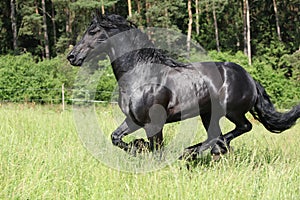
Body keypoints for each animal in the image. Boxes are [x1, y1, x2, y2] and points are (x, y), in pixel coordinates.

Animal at [68, 13, 300, 159]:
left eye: (93, 31)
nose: (72, 57)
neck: (140, 74)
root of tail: (249, 78)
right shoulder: (134, 120)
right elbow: (116, 138)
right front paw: (138, 146)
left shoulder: (153, 123)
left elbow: (157, 150)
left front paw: (142, 148)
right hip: (208, 114)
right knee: (216, 136)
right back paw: (201, 152)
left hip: (231, 111)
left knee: (241, 128)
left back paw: (193, 152)